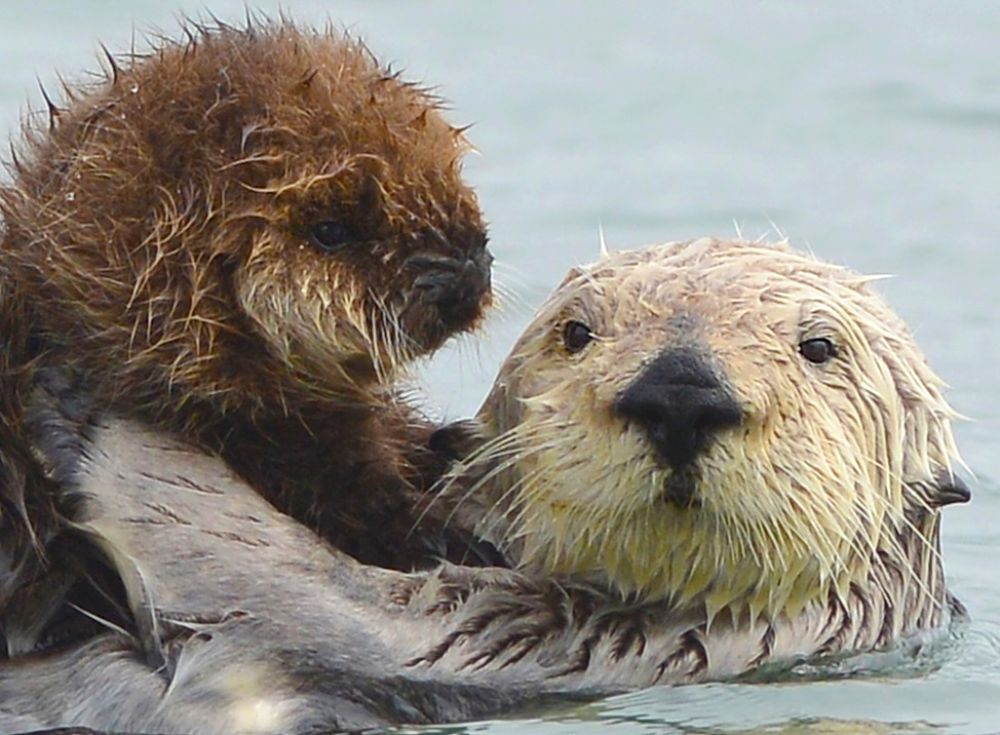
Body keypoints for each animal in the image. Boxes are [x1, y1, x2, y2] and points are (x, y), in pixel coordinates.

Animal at [0, 239, 968, 732]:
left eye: (820, 346)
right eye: (576, 332)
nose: (681, 391)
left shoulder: (505, 644)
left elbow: (266, 578)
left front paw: (81, 398)